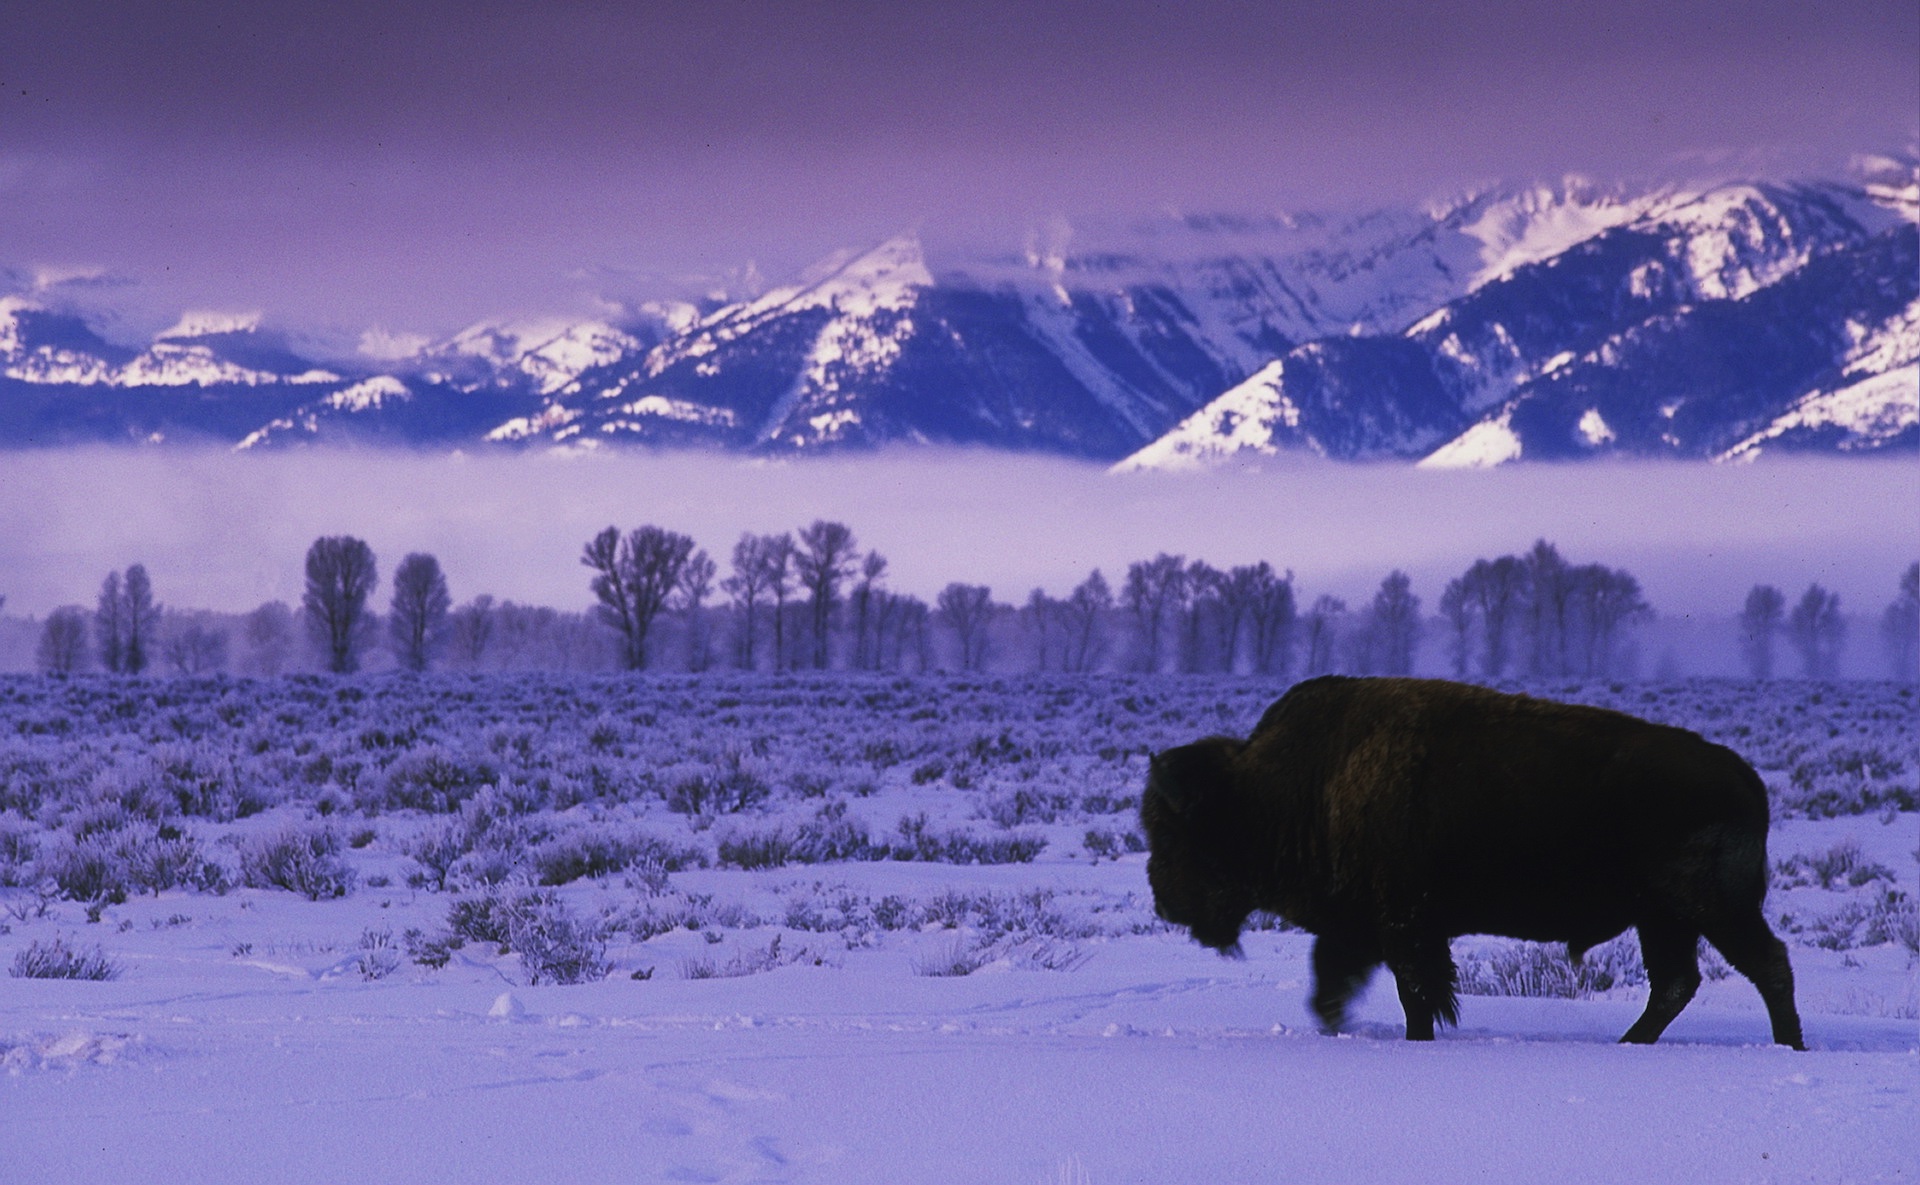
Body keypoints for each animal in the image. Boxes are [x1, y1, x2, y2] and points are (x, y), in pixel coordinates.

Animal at [1144, 676, 1804, 1044]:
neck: (1278, 786)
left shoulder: (1404, 928)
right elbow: (1334, 980)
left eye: (1174, 836)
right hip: (1664, 919)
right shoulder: (1365, 928)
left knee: (1764, 965)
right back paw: (1631, 1043)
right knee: (1677, 983)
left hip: (1709, 910)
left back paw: (1787, 1048)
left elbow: (1417, 994)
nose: (1164, 902)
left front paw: (1415, 1039)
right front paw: (1333, 1022)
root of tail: (1745, 777)